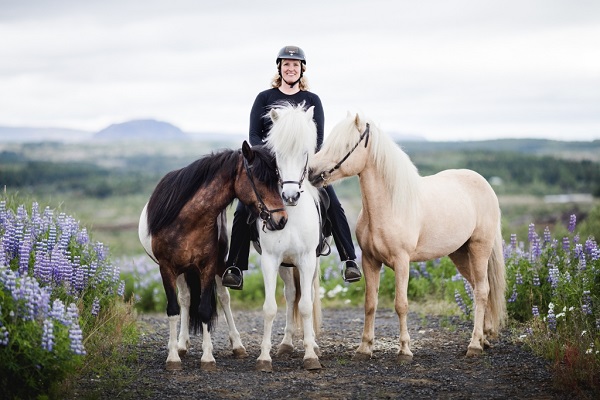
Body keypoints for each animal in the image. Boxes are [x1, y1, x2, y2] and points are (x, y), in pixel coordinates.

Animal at [141, 142, 290, 370]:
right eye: (260, 179)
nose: (281, 220)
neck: (187, 219)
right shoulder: (166, 268)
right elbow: (174, 309)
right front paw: (173, 357)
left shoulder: (209, 266)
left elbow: (204, 309)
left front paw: (208, 357)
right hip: (182, 270)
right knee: (185, 300)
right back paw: (181, 344)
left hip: (217, 266)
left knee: (223, 297)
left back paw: (237, 345)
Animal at [255, 103, 326, 372]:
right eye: (277, 153)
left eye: (305, 152)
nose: (291, 196)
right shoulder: (270, 260)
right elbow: (270, 308)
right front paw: (264, 357)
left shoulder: (306, 259)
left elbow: (305, 307)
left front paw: (311, 355)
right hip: (286, 265)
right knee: (290, 294)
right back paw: (286, 343)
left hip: (312, 263)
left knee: (307, 297)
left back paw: (312, 343)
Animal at [310, 113, 506, 362]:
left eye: (345, 145)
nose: (311, 171)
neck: (390, 205)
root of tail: (484, 184)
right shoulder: (370, 261)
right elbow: (370, 304)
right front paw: (364, 348)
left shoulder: (402, 261)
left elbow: (401, 305)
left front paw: (404, 350)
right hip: (460, 253)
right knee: (480, 288)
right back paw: (485, 337)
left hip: (479, 248)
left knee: (482, 291)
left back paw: (474, 345)